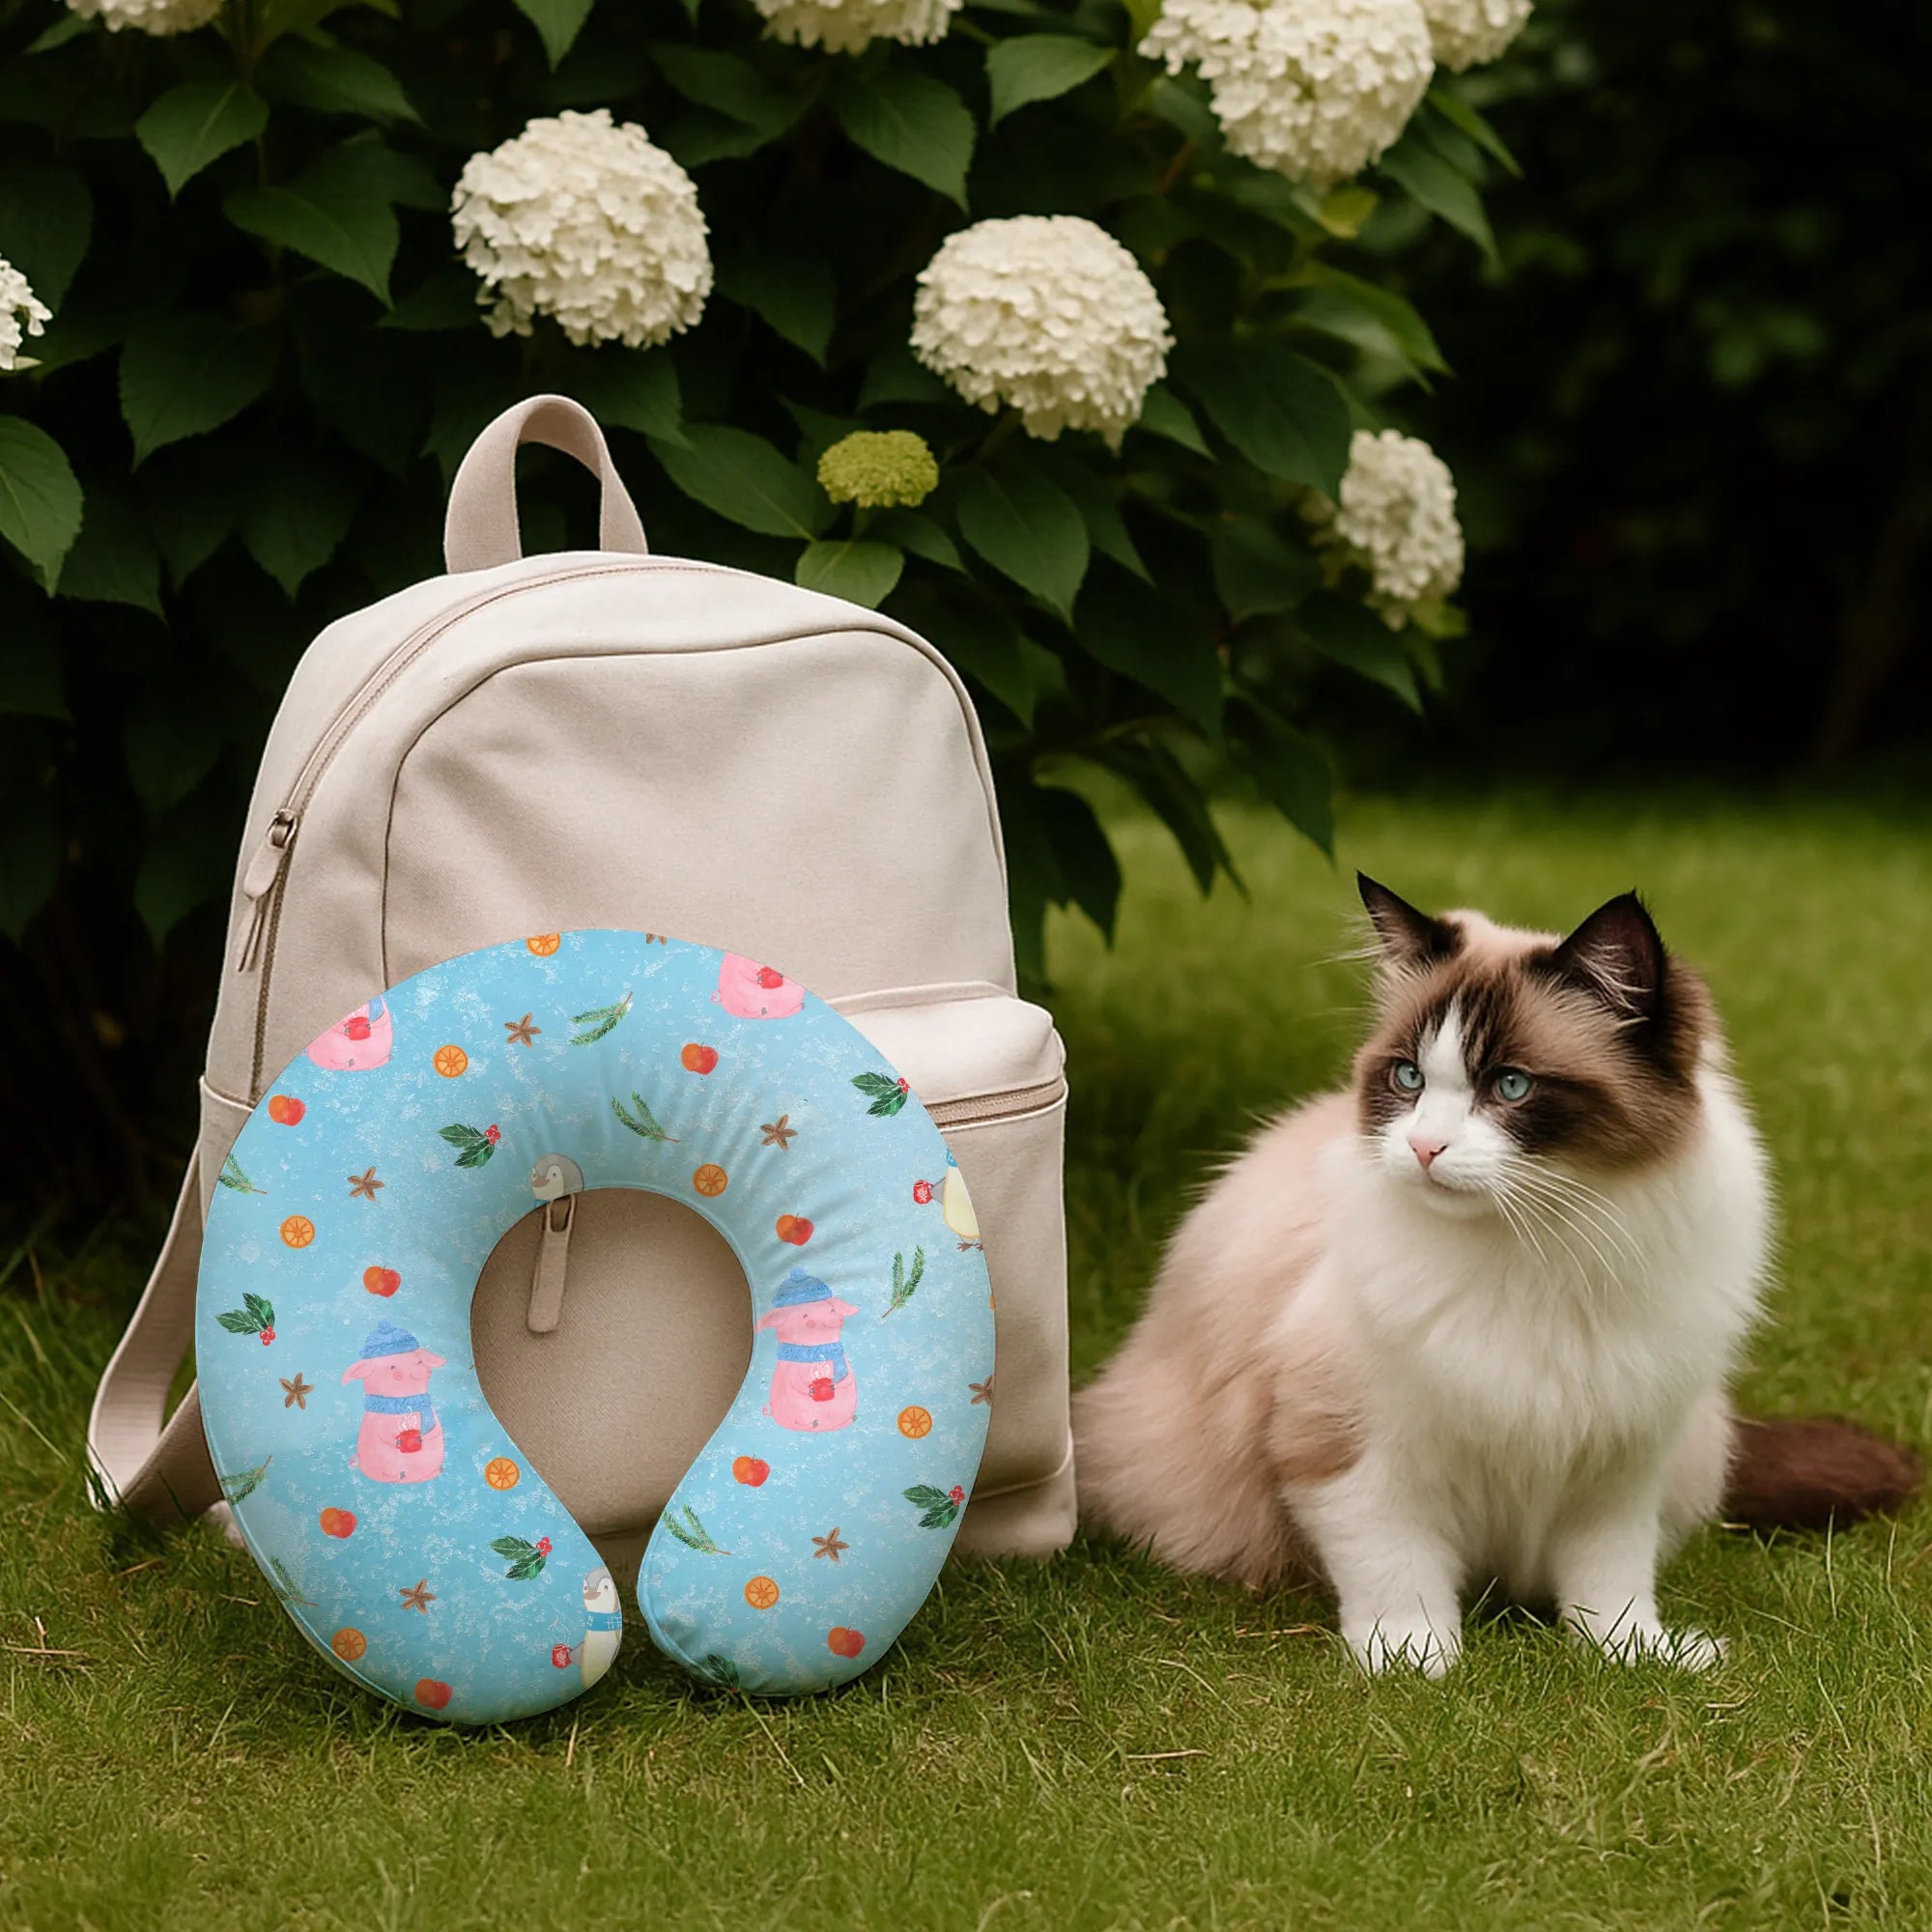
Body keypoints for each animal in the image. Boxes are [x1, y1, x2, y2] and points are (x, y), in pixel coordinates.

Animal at [1074, 876, 1918, 1676]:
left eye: (1511, 1086)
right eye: (1408, 1080)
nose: (1423, 1149)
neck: (1541, 1248)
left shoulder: (1622, 1455)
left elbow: (1610, 1578)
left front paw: (1631, 1656)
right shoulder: (1355, 1452)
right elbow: (1397, 1572)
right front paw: (1414, 1665)